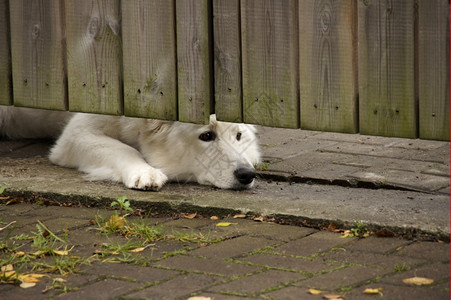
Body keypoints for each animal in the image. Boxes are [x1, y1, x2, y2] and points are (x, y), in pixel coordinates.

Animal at [0, 105, 262, 190]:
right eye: (206, 136)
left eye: (238, 136)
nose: (247, 175)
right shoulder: (76, 134)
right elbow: (124, 149)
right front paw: (144, 172)